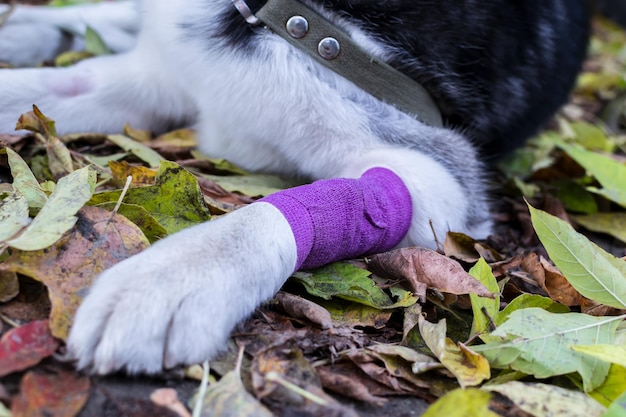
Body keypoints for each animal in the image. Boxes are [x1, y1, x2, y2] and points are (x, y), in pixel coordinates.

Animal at [0, 0, 588, 374]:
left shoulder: (436, 177)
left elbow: (266, 215)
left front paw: (168, 279)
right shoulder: (160, 76)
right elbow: (38, 87)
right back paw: (27, 25)